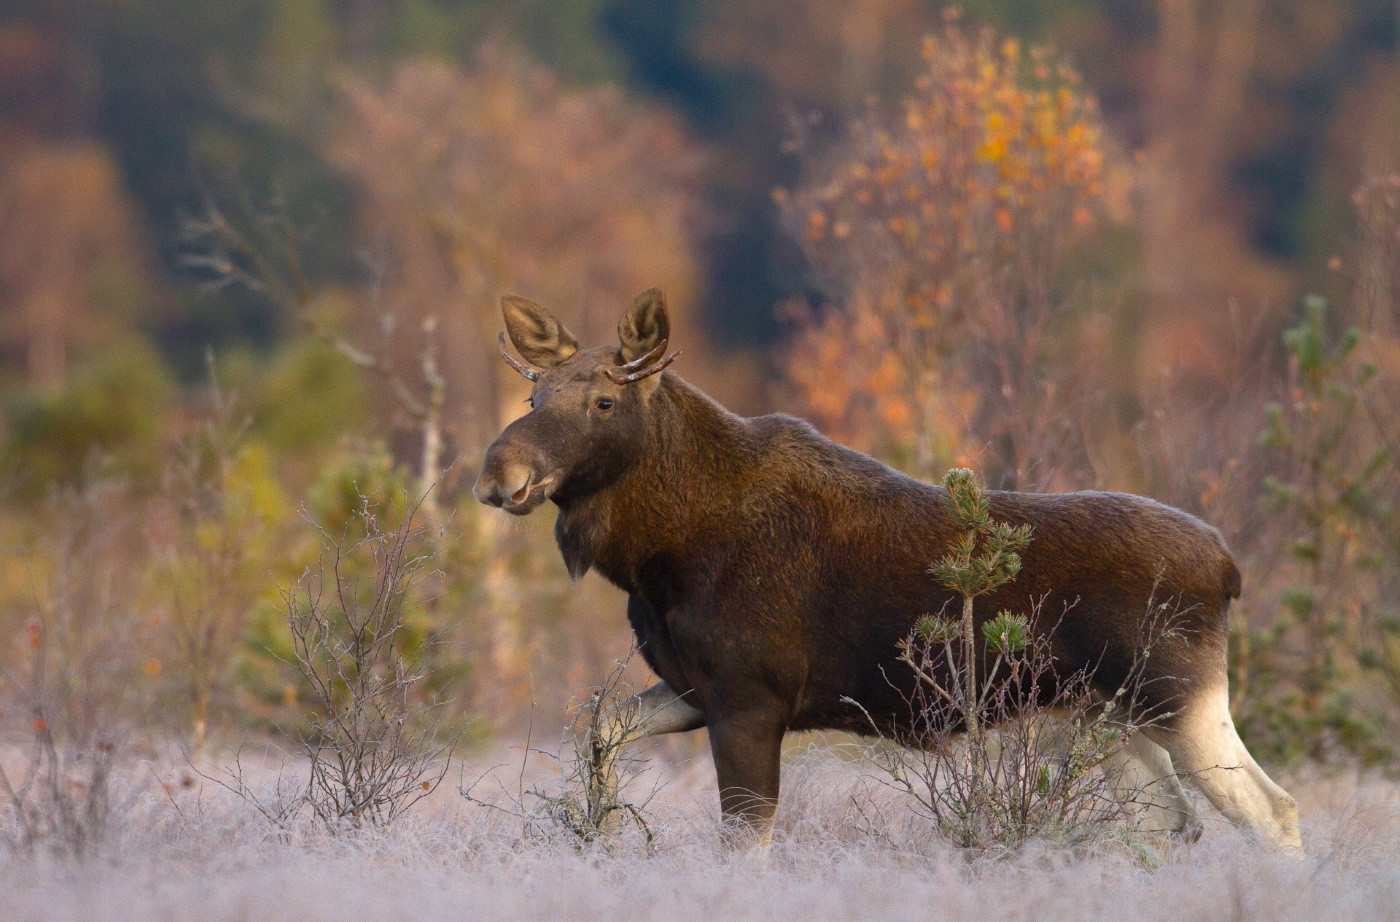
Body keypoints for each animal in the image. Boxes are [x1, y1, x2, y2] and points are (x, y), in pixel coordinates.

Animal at [473, 288, 1299, 850]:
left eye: (604, 402)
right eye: (533, 394)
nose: (499, 472)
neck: (659, 555)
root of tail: (1230, 568)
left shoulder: (749, 695)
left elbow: (745, 840)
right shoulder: (690, 686)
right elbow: (601, 728)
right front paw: (601, 834)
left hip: (1177, 695)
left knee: (1273, 810)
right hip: (1105, 713)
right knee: (1171, 820)